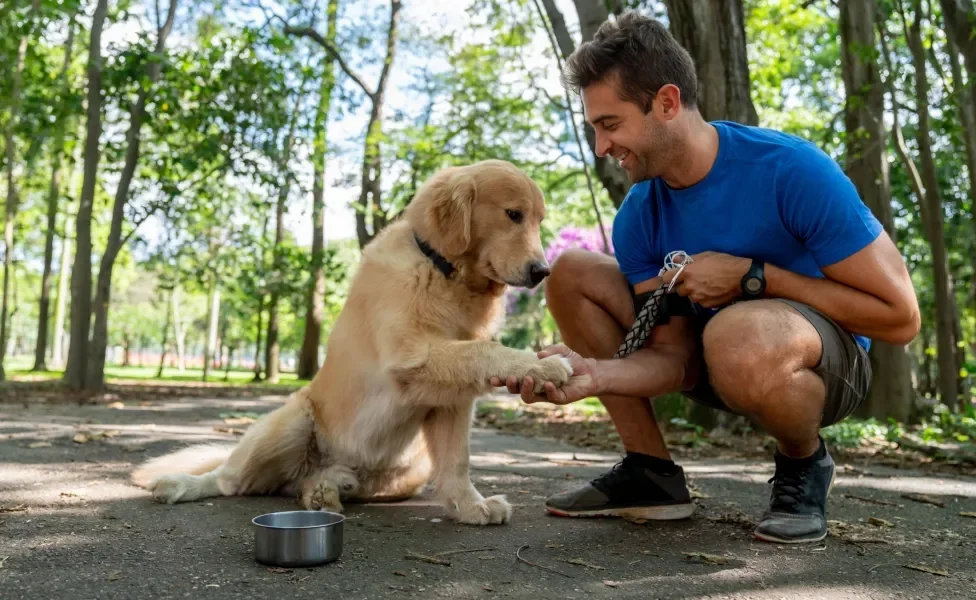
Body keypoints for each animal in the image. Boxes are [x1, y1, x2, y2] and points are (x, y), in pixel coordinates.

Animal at [130, 158, 572, 524]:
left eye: (539, 221)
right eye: (513, 215)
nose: (543, 271)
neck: (444, 272)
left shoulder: (451, 400)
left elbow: (457, 461)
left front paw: (469, 507)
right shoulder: (409, 357)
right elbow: (484, 349)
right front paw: (542, 364)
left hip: (406, 470)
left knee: (310, 484)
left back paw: (327, 489)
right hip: (290, 424)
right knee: (229, 480)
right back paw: (181, 485)